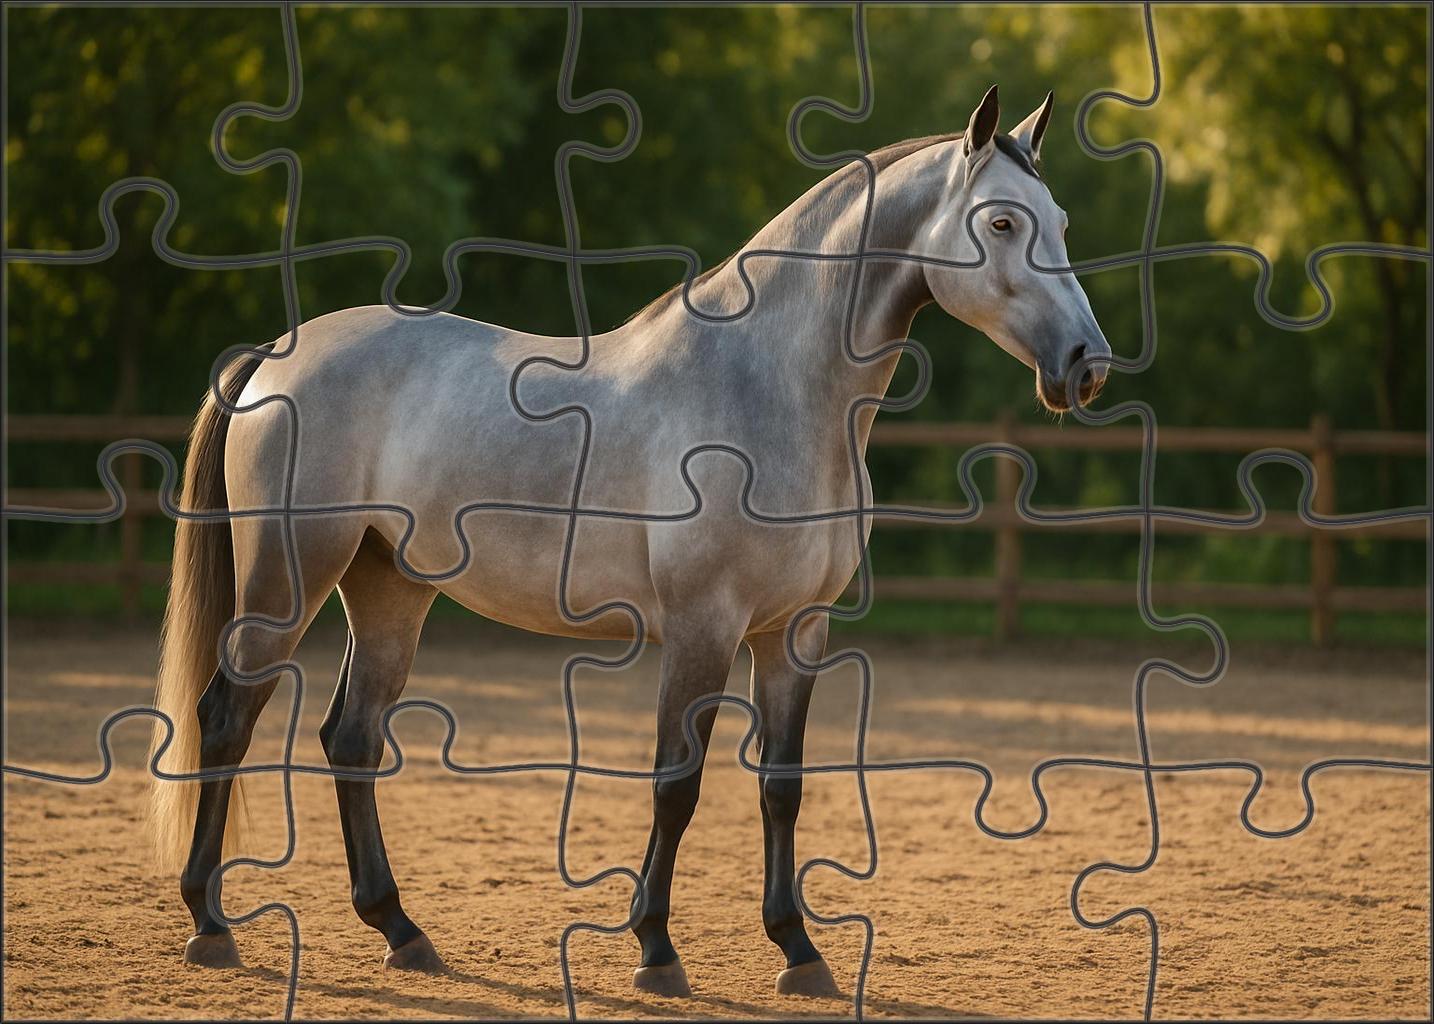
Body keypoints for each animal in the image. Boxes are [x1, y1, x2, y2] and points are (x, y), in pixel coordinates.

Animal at [149, 84, 1110, 997]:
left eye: (1063, 222)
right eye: (1002, 221)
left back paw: (401, 931)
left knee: (352, 738)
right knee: (226, 719)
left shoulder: (793, 633)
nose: (1087, 366)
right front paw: (656, 950)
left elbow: (782, 789)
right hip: (289, 581)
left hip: (389, 587)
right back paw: (212, 925)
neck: (769, 391)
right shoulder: (702, 627)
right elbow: (677, 783)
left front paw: (798, 951)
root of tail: (274, 357)